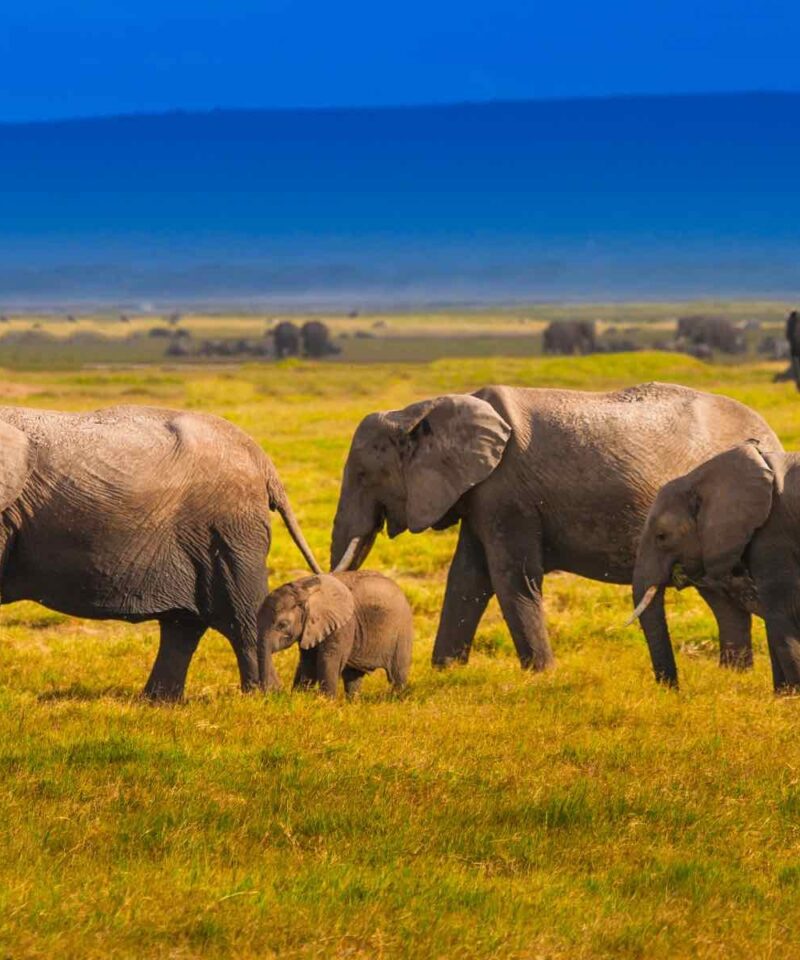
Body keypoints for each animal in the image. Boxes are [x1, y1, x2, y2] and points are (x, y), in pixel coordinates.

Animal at [0, 405, 321, 700]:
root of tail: (263, 460)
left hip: (230, 531)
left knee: (241, 618)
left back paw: (263, 697)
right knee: (183, 625)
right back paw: (158, 702)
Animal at [259, 571, 413, 698]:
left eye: (282, 625)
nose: (273, 692)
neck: (305, 588)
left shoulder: (343, 625)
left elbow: (328, 659)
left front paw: (326, 703)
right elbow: (308, 661)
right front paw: (301, 698)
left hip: (402, 630)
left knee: (397, 674)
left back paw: (396, 700)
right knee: (352, 677)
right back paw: (353, 703)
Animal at [329, 383, 781, 685]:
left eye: (364, 475)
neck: (422, 409)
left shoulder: (506, 491)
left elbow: (511, 578)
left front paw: (542, 677)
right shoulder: (480, 494)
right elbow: (467, 580)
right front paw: (446, 672)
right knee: (723, 597)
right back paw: (733, 678)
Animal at [629, 441, 800, 691]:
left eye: (662, 536)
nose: (672, 692)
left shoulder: (773, 533)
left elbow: (782, 613)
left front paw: (790, 696)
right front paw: (782, 696)